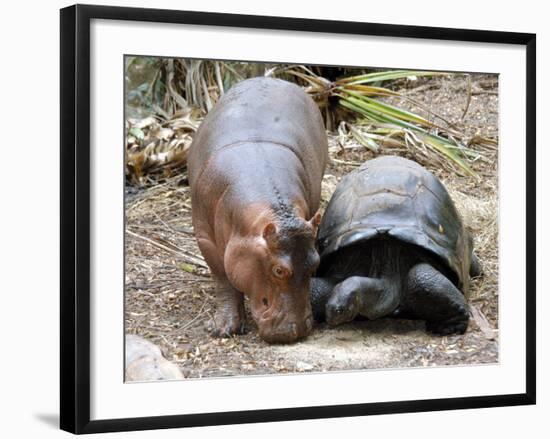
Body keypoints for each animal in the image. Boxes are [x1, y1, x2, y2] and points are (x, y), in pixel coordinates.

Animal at [190, 78, 328, 344]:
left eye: (315, 263)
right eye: (278, 270)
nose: (297, 329)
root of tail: (272, 78)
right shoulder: (205, 239)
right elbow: (223, 279)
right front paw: (223, 329)